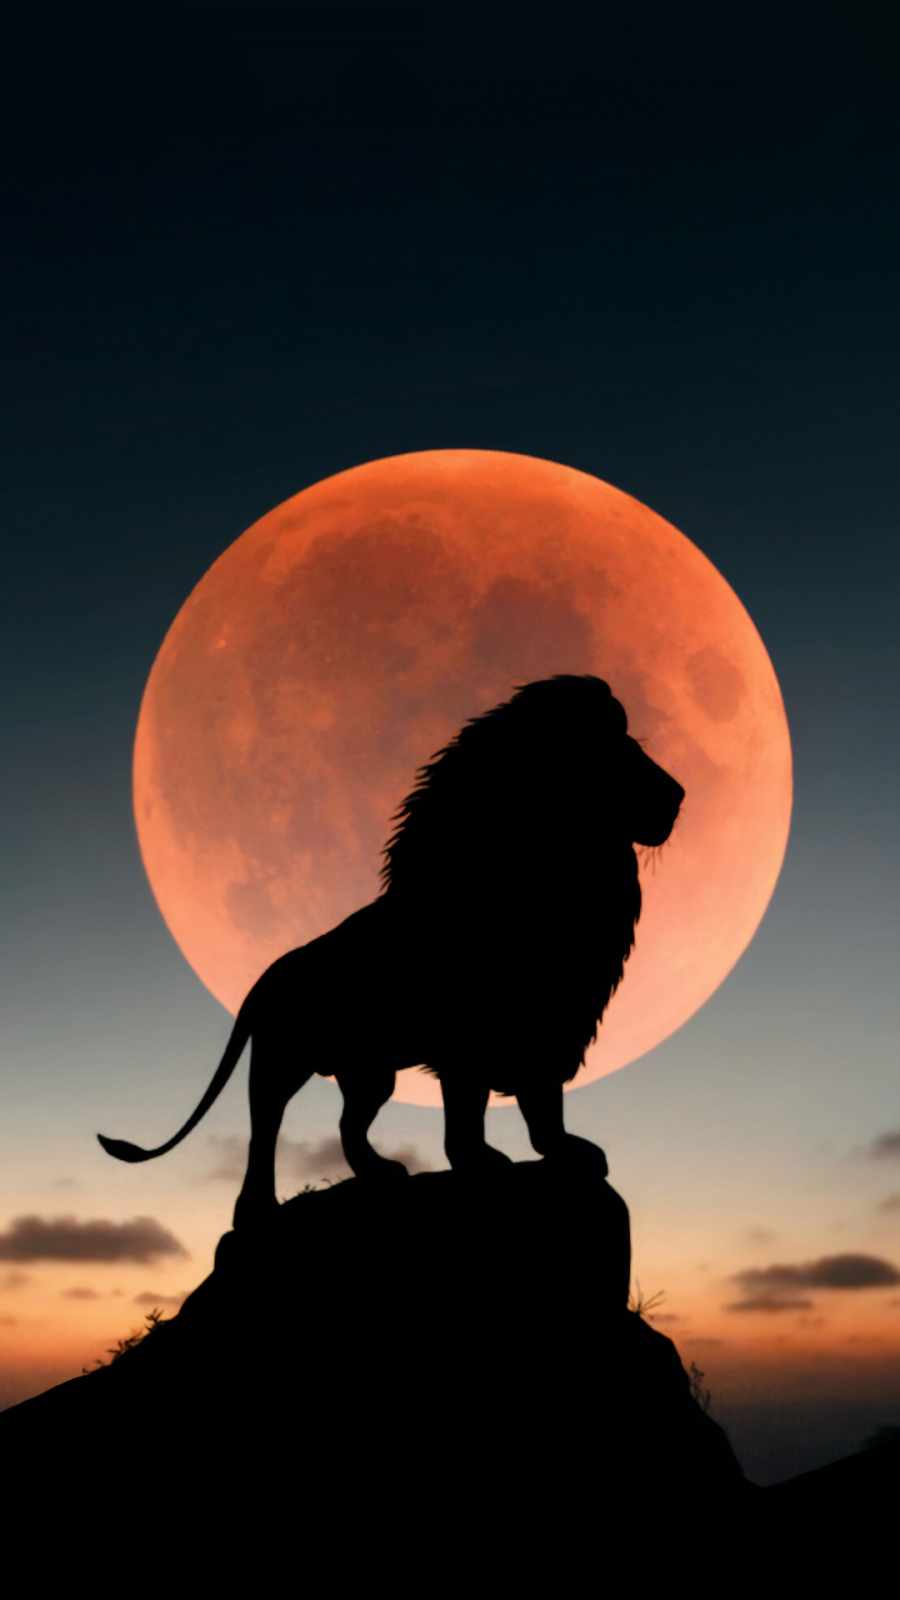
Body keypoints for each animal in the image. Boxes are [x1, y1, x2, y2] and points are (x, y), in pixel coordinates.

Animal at [98, 674, 684, 1229]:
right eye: (614, 750)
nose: (678, 795)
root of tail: (265, 978)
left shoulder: (552, 1029)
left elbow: (542, 1108)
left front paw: (562, 1152)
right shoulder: (471, 1043)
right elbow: (470, 1114)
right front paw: (483, 1163)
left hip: (369, 1071)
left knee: (348, 1126)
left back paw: (380, 1173)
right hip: (282, 1061)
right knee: (264, 1129)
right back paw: (255, 1210)